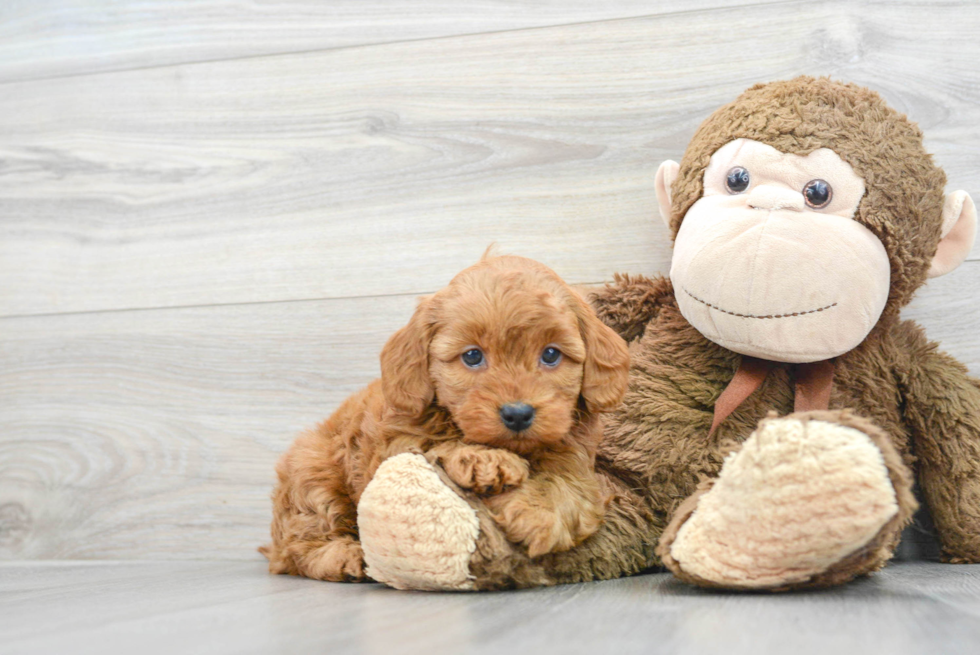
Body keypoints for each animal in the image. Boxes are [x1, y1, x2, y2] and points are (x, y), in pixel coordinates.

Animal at [260, 254, 628, 580]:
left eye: (551, 354)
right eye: (473, 356)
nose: (517, 414)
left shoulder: (576, 449)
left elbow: (568, 478)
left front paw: (540, 511)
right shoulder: (393, 440)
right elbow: (435, 444)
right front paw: (484, 458)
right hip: (312, 475)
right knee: (300, 542)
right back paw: (342, 556)